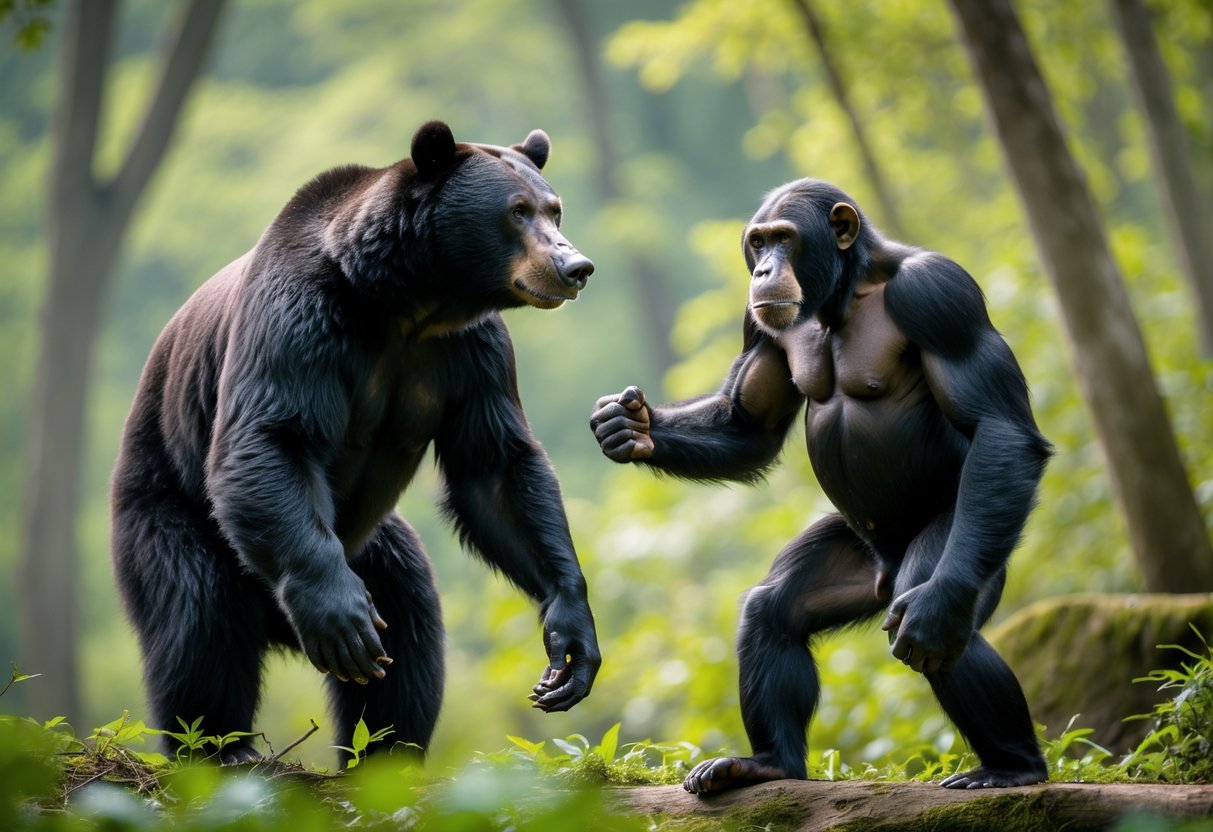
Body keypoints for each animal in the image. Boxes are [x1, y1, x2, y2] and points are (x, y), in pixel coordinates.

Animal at [110, 120, 601, 764]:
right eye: (516, 211)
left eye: (554, 208)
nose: (575, 266)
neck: (406, 303)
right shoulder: (302, 319)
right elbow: (272, 435)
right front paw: (341, 624)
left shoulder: (471, 354)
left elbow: (497, 467)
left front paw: (569, 646)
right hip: (168, 510)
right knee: (200, 615)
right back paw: (220, 746)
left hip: (374, 546)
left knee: (411, 631)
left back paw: (388, 750)